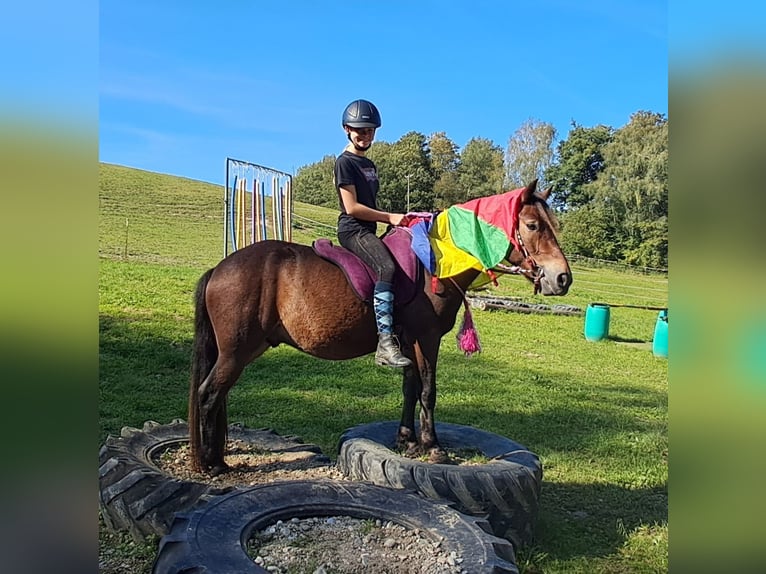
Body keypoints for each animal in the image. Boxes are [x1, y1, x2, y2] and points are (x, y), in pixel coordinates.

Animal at [188, 181, 568, 476]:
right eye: (532, 225)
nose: (562, 278)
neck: (434, 263)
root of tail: (219, 269)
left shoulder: (410, 342)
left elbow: (410, 387)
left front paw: (408, 440)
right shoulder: (427, 338)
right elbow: (428, 390)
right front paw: (433, 447)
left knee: (218, 396)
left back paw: (217, 457)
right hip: (236, 351)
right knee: (209, 394)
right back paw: (211, 464)